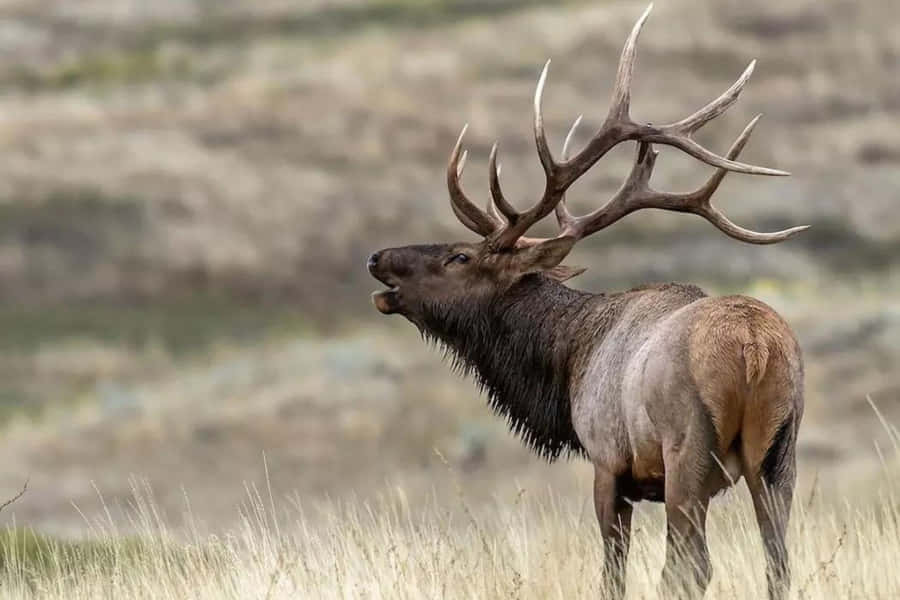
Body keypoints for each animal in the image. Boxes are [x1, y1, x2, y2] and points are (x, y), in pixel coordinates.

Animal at [367, 5, 804, 599]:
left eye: (460, 256)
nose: (376, 257)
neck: (568, 358)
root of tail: (755, 348)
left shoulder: (607, 463)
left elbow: (612, 571)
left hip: (688, 451)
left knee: (690, 565)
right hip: (781, 453)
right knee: (778, 561)